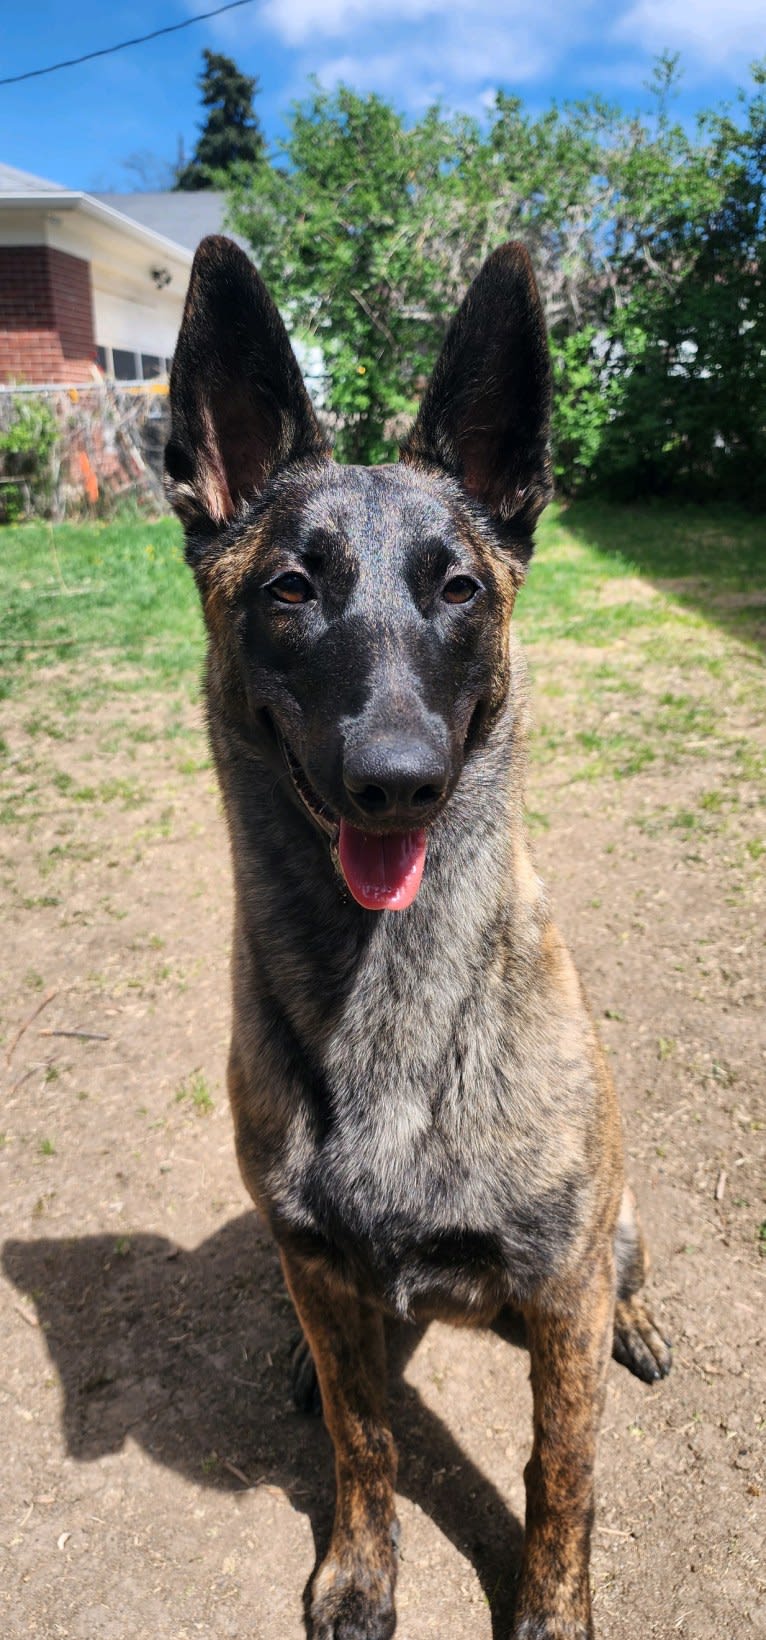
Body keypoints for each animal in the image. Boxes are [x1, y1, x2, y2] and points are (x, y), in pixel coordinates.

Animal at [166, 234, 672, 1640]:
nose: (396, 780)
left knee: (621, 1273)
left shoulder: (555, 1280)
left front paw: (554, 1606)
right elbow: (365, 1436)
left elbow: (563, 1465)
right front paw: (359, 1567)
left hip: (612, 1230)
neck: (388, 1000)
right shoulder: (321, 1262)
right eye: (291, 588)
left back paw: (641, 1319)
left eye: (458, 588)